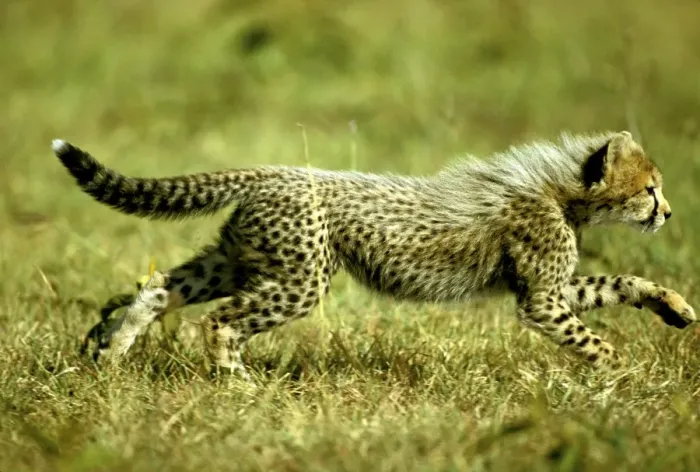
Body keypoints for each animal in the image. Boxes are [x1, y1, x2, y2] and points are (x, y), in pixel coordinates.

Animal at [51, 130, 695, 381]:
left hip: (239, 260)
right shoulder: (540, 300)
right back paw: (237, 386)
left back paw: (111, 352)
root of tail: (274, 171)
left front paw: (675, 306)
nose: (668, 213)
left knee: (159, 288)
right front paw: (621, 375)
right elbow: (594, 337)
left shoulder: (553, 289)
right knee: (219, 321)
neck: (565, 194)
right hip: (299, 279)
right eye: (650, 189)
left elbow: (622, 282)